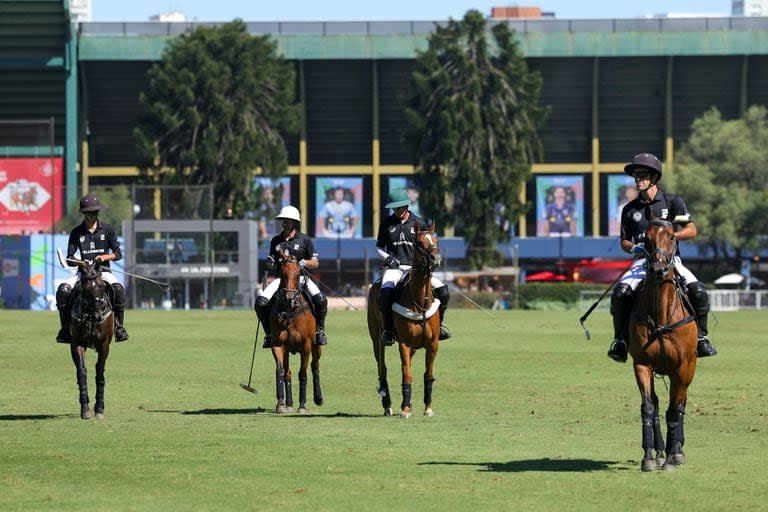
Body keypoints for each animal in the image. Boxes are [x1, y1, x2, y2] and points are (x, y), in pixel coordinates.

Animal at [68, 260, 115, 420]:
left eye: (101, 286)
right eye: (86, 288)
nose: (99, 314)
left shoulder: (104, 344)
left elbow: (99, 371)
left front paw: (99, 409)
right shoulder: (77, 343)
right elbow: (82, 371)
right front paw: (85, 408)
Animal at [268, 249, 322, 416]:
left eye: (299, 273)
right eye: (282, 272)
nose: (289, 297)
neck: (290, 310)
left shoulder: (306, 346)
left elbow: (302, 374)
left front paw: (302, 405)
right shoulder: (277, 344)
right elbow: (280, 372)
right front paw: (281, 404)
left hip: (317, 346)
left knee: (315, 367)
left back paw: (318, 398)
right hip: (287, 350)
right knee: (288, 372)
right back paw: (289, 403)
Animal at [368, 222, 440, 418]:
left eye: (436, 240)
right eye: (420, 243)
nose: (435, 259)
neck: (420, 301)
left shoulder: (433, 344)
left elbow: (428, 375)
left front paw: (428, 408)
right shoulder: (404, 343)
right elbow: (407, 374)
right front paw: (406, 409)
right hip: (376, 337)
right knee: (382, 367)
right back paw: (387, 403)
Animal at [632, 220, 696, 472]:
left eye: (671, 237)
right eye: (646, 239)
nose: (658, 269)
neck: (661, 315)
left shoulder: (682, 366)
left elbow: (674, 410)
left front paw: (672, 458)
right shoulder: (642, 363)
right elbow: (648, 407)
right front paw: (649, 457)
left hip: (689, 369)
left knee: (680, 405)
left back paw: (676, 451)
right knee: (658, 404)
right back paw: (660, 452)